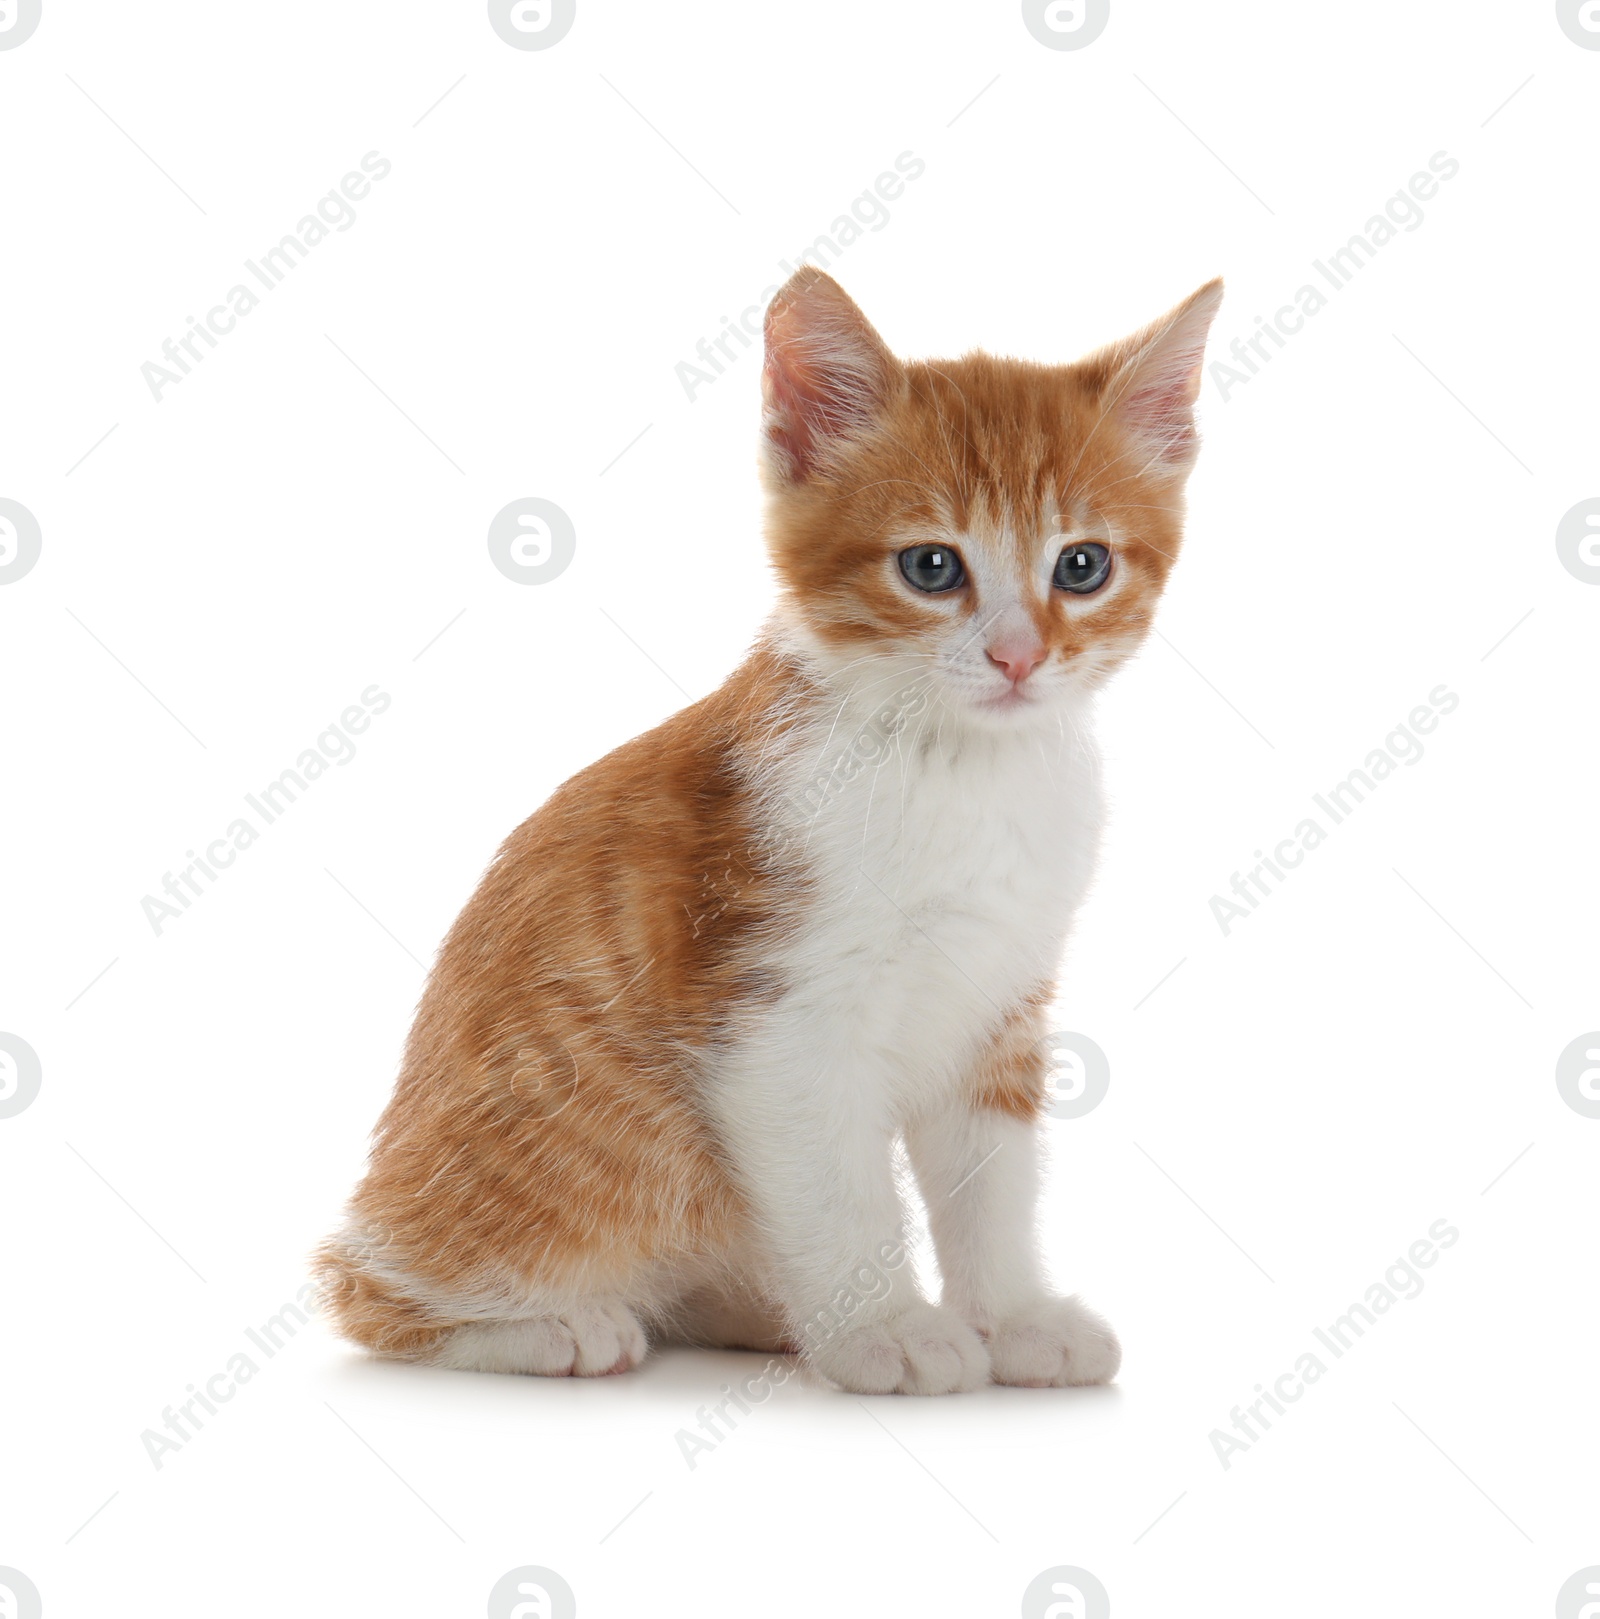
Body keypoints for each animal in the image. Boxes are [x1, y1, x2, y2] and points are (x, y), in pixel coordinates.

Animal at [315, 262, 1224, 1392]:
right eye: (931, 567)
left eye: (1083, 566)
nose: (1017, 656)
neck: (960, 767)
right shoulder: (775, 1014)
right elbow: (839, 1186)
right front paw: (886, 1327)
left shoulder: (1001, 995)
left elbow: (992, 1180)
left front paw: (1011, 1315)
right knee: (365, 1290)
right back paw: (556, 1327)